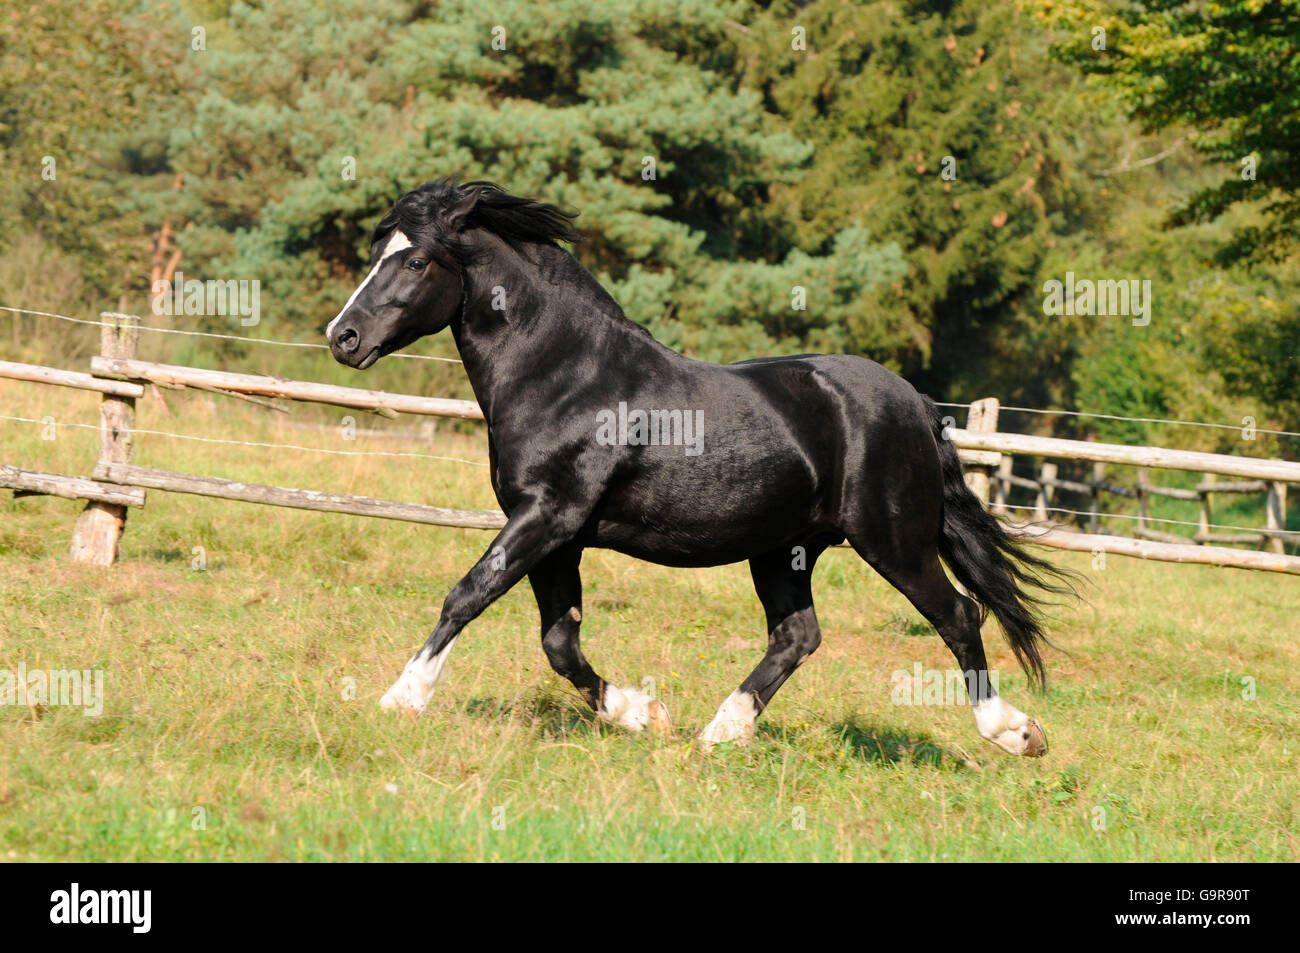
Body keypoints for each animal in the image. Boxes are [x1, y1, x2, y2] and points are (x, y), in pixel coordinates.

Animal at [322, 182, 1066, 754]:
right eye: (375, 253)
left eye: (417, 260)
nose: (342, 337)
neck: (566, 376)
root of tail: (915, 403)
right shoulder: (557, 534)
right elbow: (559, 641)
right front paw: (642, 714)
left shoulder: (547, 516)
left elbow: (467, 595)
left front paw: (401, 698)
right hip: (783, 549)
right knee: (798, 635)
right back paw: (719, 733)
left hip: (893, 540)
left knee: (959, 615)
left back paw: (1017, 733)